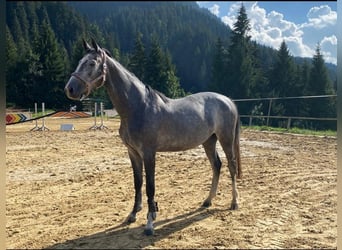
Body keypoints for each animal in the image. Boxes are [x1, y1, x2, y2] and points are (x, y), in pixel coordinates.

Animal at [63, 38, 240, 235]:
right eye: (80, 61)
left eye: (92, 63)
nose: (70, 89)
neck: (139, 106)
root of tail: (227, 100)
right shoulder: (133, 152)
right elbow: (138, 183)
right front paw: (132, 215)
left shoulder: (149, 153)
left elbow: (150, 187)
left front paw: (149, 223)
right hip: (209, 141)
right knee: (217, 165)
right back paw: (207, 201)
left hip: (226, 139)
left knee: (231, 166)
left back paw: (234, 203)